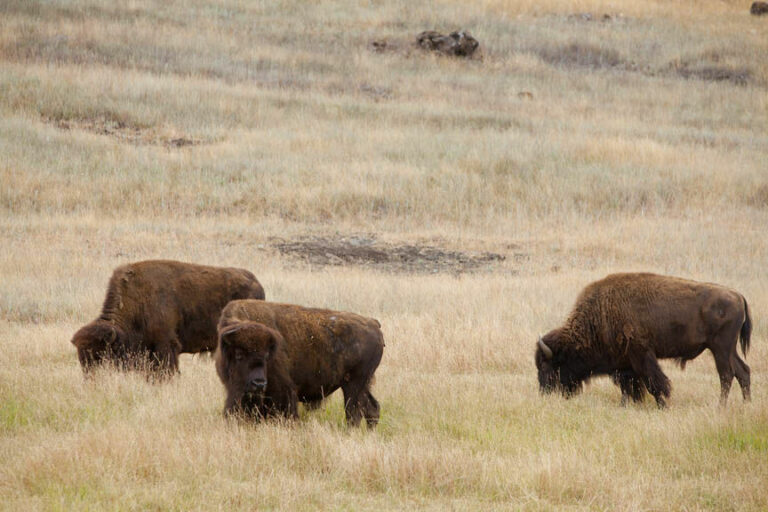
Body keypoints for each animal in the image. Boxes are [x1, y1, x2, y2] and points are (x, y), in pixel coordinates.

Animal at [214, 300, 384, 428]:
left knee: (354, 414)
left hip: (353, 385)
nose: (259, 383)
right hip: (361, 384)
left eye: (267, 355)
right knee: (371, 409)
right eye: (239, 354)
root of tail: (373, 323)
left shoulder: (283, 392)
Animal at [536, 272, 752, 408]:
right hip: (729, 350)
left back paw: (721, 407)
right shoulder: (624, 365)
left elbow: (654, 383)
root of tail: (738, 296)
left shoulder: (641, 355)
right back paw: (746, 404)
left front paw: (662, 405)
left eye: (548, 366)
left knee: (726, 375)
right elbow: (630, 387)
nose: (544, 393)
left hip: (720, 348)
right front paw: (627, 405)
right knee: (743, 372)